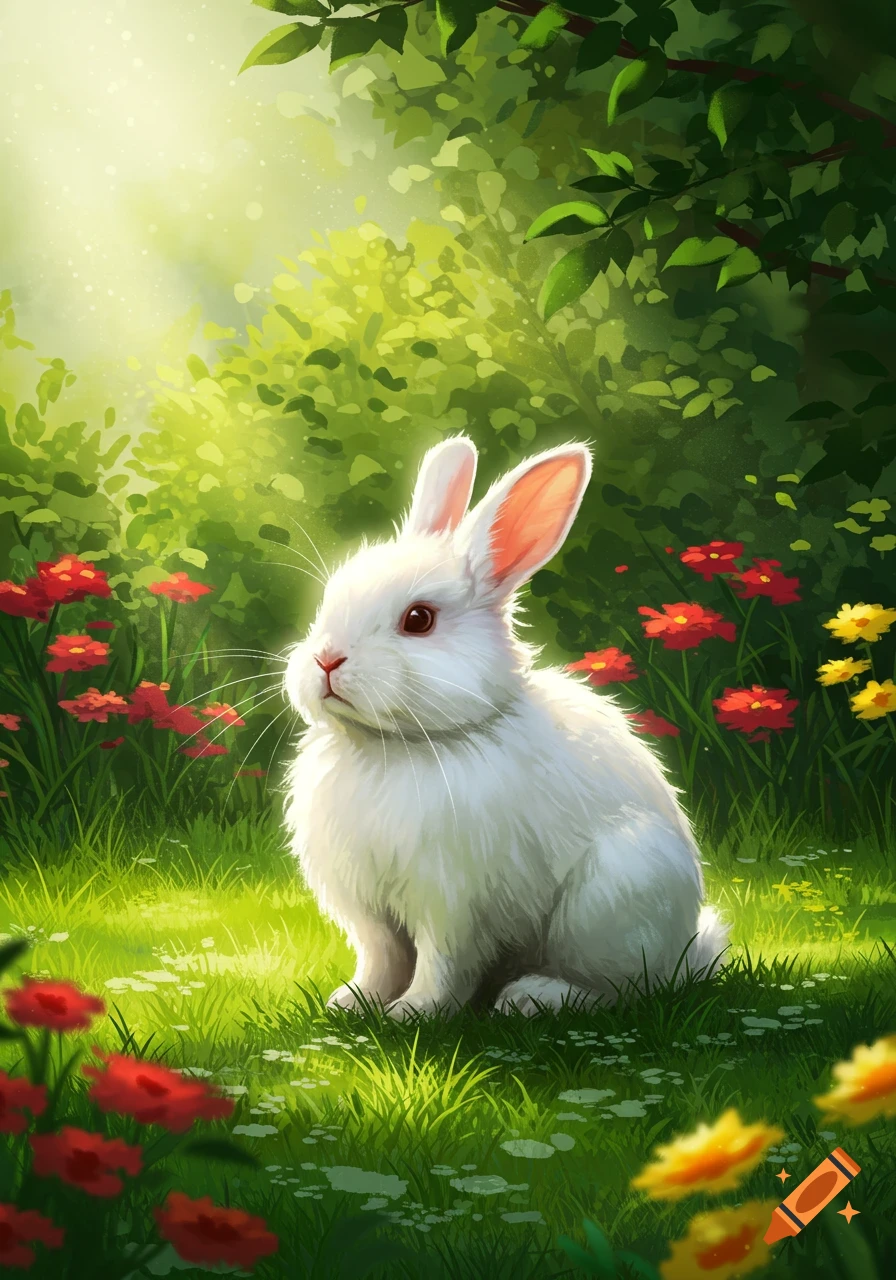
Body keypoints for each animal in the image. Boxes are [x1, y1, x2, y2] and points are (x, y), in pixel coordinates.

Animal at [283, 435, 729, 1019]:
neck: (392, 746)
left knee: (624, 988)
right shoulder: (372, 912)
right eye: (329, 600)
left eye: (419, 620)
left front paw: (412, 1013)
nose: (327, 660)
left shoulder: (454, 905)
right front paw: (352, 1003)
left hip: (609, 902)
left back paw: (530, 997)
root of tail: (687, 951)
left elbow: (441, 966)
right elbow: (381, 959)